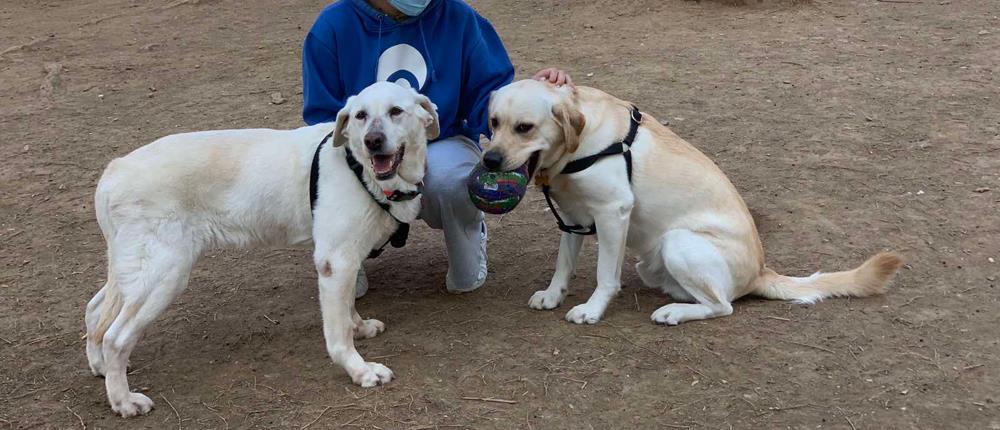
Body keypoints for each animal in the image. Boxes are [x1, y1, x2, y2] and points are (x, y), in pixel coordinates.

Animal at [88, 81, 440, 416]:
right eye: (360, 116)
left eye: (396, 111)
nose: (373, 141)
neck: (358, 167)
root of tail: (114, 170)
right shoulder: (335, 262)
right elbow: (339, 335)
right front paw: (361, 370)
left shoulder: (345, 261)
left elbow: (349, 307)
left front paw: (360, 326)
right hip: (165, 275)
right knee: (115, 338)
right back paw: (123, 401)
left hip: (135, 271)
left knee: (94, 312)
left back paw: (101, 368)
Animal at [480, 78, 904, 326]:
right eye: (494, 123)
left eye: (524, 127)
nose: (490, 160)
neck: (577, 147)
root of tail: (761, 271)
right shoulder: (572, 217)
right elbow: (563, 265)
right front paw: (553, 295)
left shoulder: (613, 213)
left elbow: (605, 276)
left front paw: (592, 310)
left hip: (678, 240)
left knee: (722, 305)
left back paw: (673, 313)